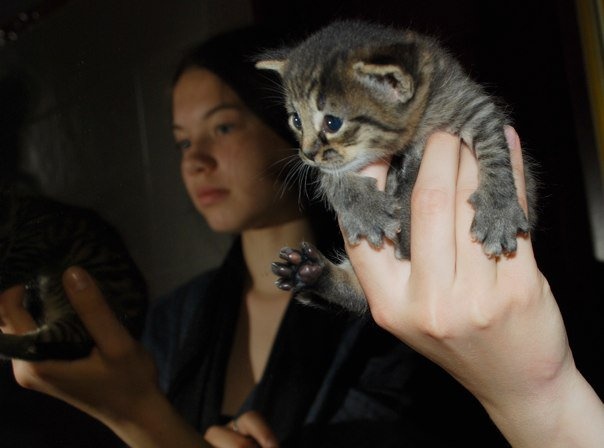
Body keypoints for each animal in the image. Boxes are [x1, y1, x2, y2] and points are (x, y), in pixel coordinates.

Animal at [257, 20, 537, 314]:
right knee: (359, 294)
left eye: (332, 123)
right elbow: (331, 175)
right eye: (296, 120)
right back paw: (309, 272)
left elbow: (494, 149)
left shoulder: (469, 102)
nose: (307, 154)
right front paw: (364, 208)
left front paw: (498, 211)